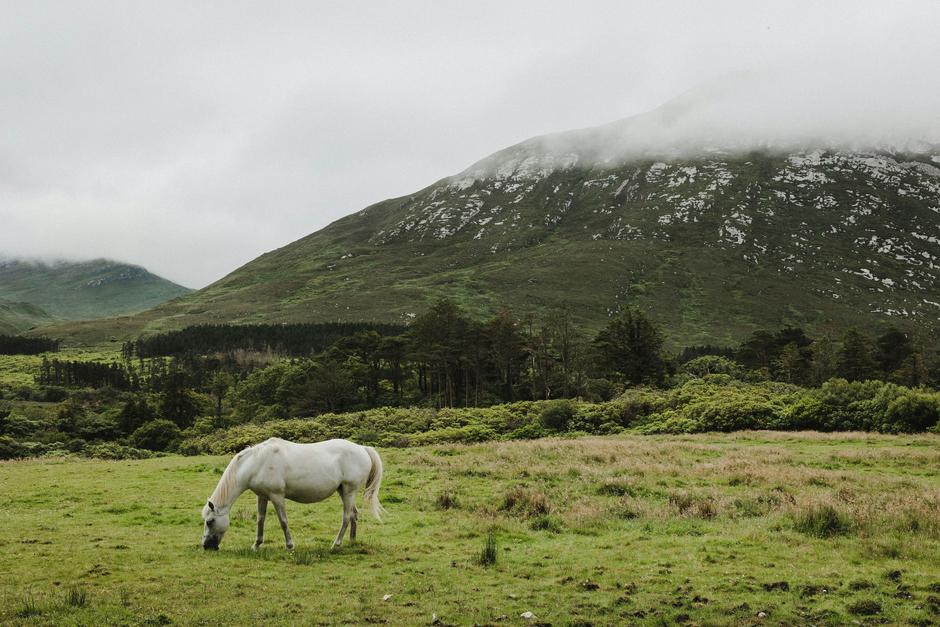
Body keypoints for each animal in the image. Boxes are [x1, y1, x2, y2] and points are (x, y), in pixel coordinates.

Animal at [200, 440, 384, 552]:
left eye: (210, 522)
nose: (206, 546)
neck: (257, 463)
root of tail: (362, 448)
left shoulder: (277, 496)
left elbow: (283, 521)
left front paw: (290, 545)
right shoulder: (262, 496)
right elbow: (260, 520)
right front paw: (256, 544)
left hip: (349, 491)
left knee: (346, 517)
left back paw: (335, 544)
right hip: (344, 491)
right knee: (354, 515)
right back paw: (352, 541)